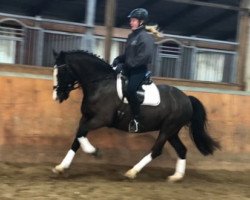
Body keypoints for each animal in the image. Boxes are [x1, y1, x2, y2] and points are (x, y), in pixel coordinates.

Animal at [51, 49, 220, 181]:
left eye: (62, 71)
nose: (57, 96)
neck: (101, 85)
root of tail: (187, 99)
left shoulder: (101, 119)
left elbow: (80, 133)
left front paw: (95, 152)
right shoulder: (86, 117)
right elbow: (78, 137)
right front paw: (61, 167)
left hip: (168, 129)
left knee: (156, 150)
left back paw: (132, 172)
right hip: (172, 131)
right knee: (182, 150)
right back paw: (176, 176)